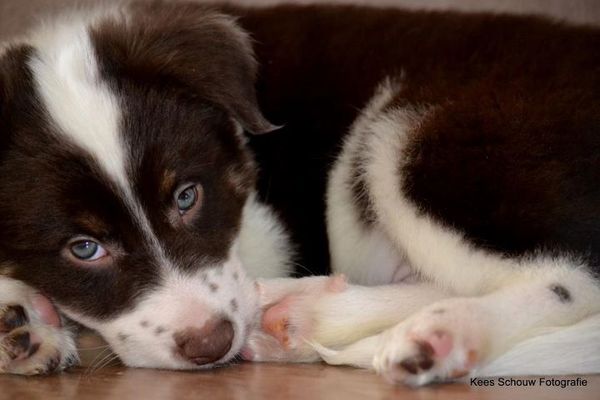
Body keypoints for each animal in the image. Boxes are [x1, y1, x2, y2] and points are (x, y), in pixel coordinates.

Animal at [1, 1, 600, 386]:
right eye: (84, 248)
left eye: (187, 197)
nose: (212, 345)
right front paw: (22, 319)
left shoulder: (261, 234)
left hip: (415, 133)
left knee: (567, 280)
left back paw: (430, 332)